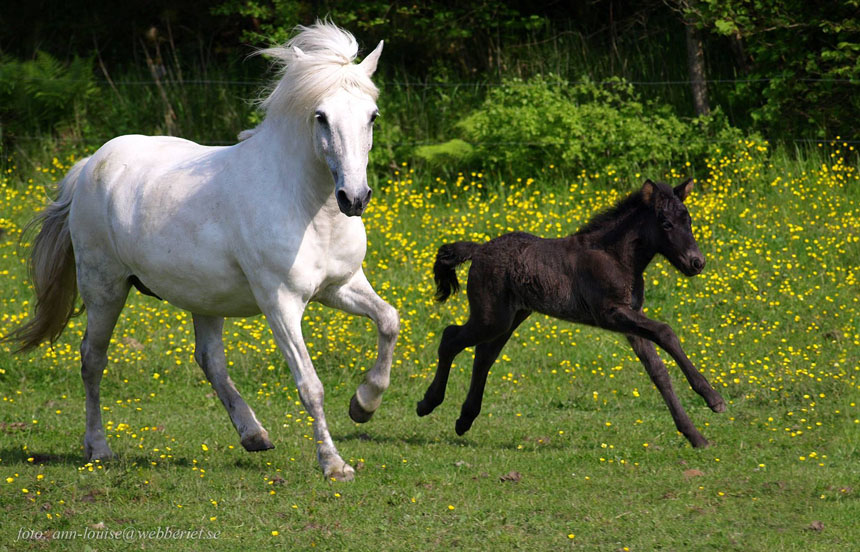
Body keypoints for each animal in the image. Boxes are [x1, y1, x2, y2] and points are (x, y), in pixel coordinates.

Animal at [4, 20, 400, 478]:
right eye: (321, 117)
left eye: (372, 116)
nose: (354, 198)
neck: (305, 206)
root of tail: (89, 165)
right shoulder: (281, 304)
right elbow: (310, 386)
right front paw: (334, 464)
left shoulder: (341, 286)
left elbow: (389, 321)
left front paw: (364, 404)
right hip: (104, 288)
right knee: (92, 360)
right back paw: (99, 448)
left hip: (205, 299)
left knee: (209, 360)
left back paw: (254, 435)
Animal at [416, 179, 724, 446]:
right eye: (666, 223)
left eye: (689, 221)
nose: (696, 262)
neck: (615, 256)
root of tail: (479, 249)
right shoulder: (610, 313)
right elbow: (665, 331)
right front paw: (713, 397)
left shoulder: (631, 318)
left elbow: (658, 371)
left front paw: (696, 435)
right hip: (491, 317)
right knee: (450, 338)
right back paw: (427, 403)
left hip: (509, 318)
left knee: (483, 356)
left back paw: (464, 419)